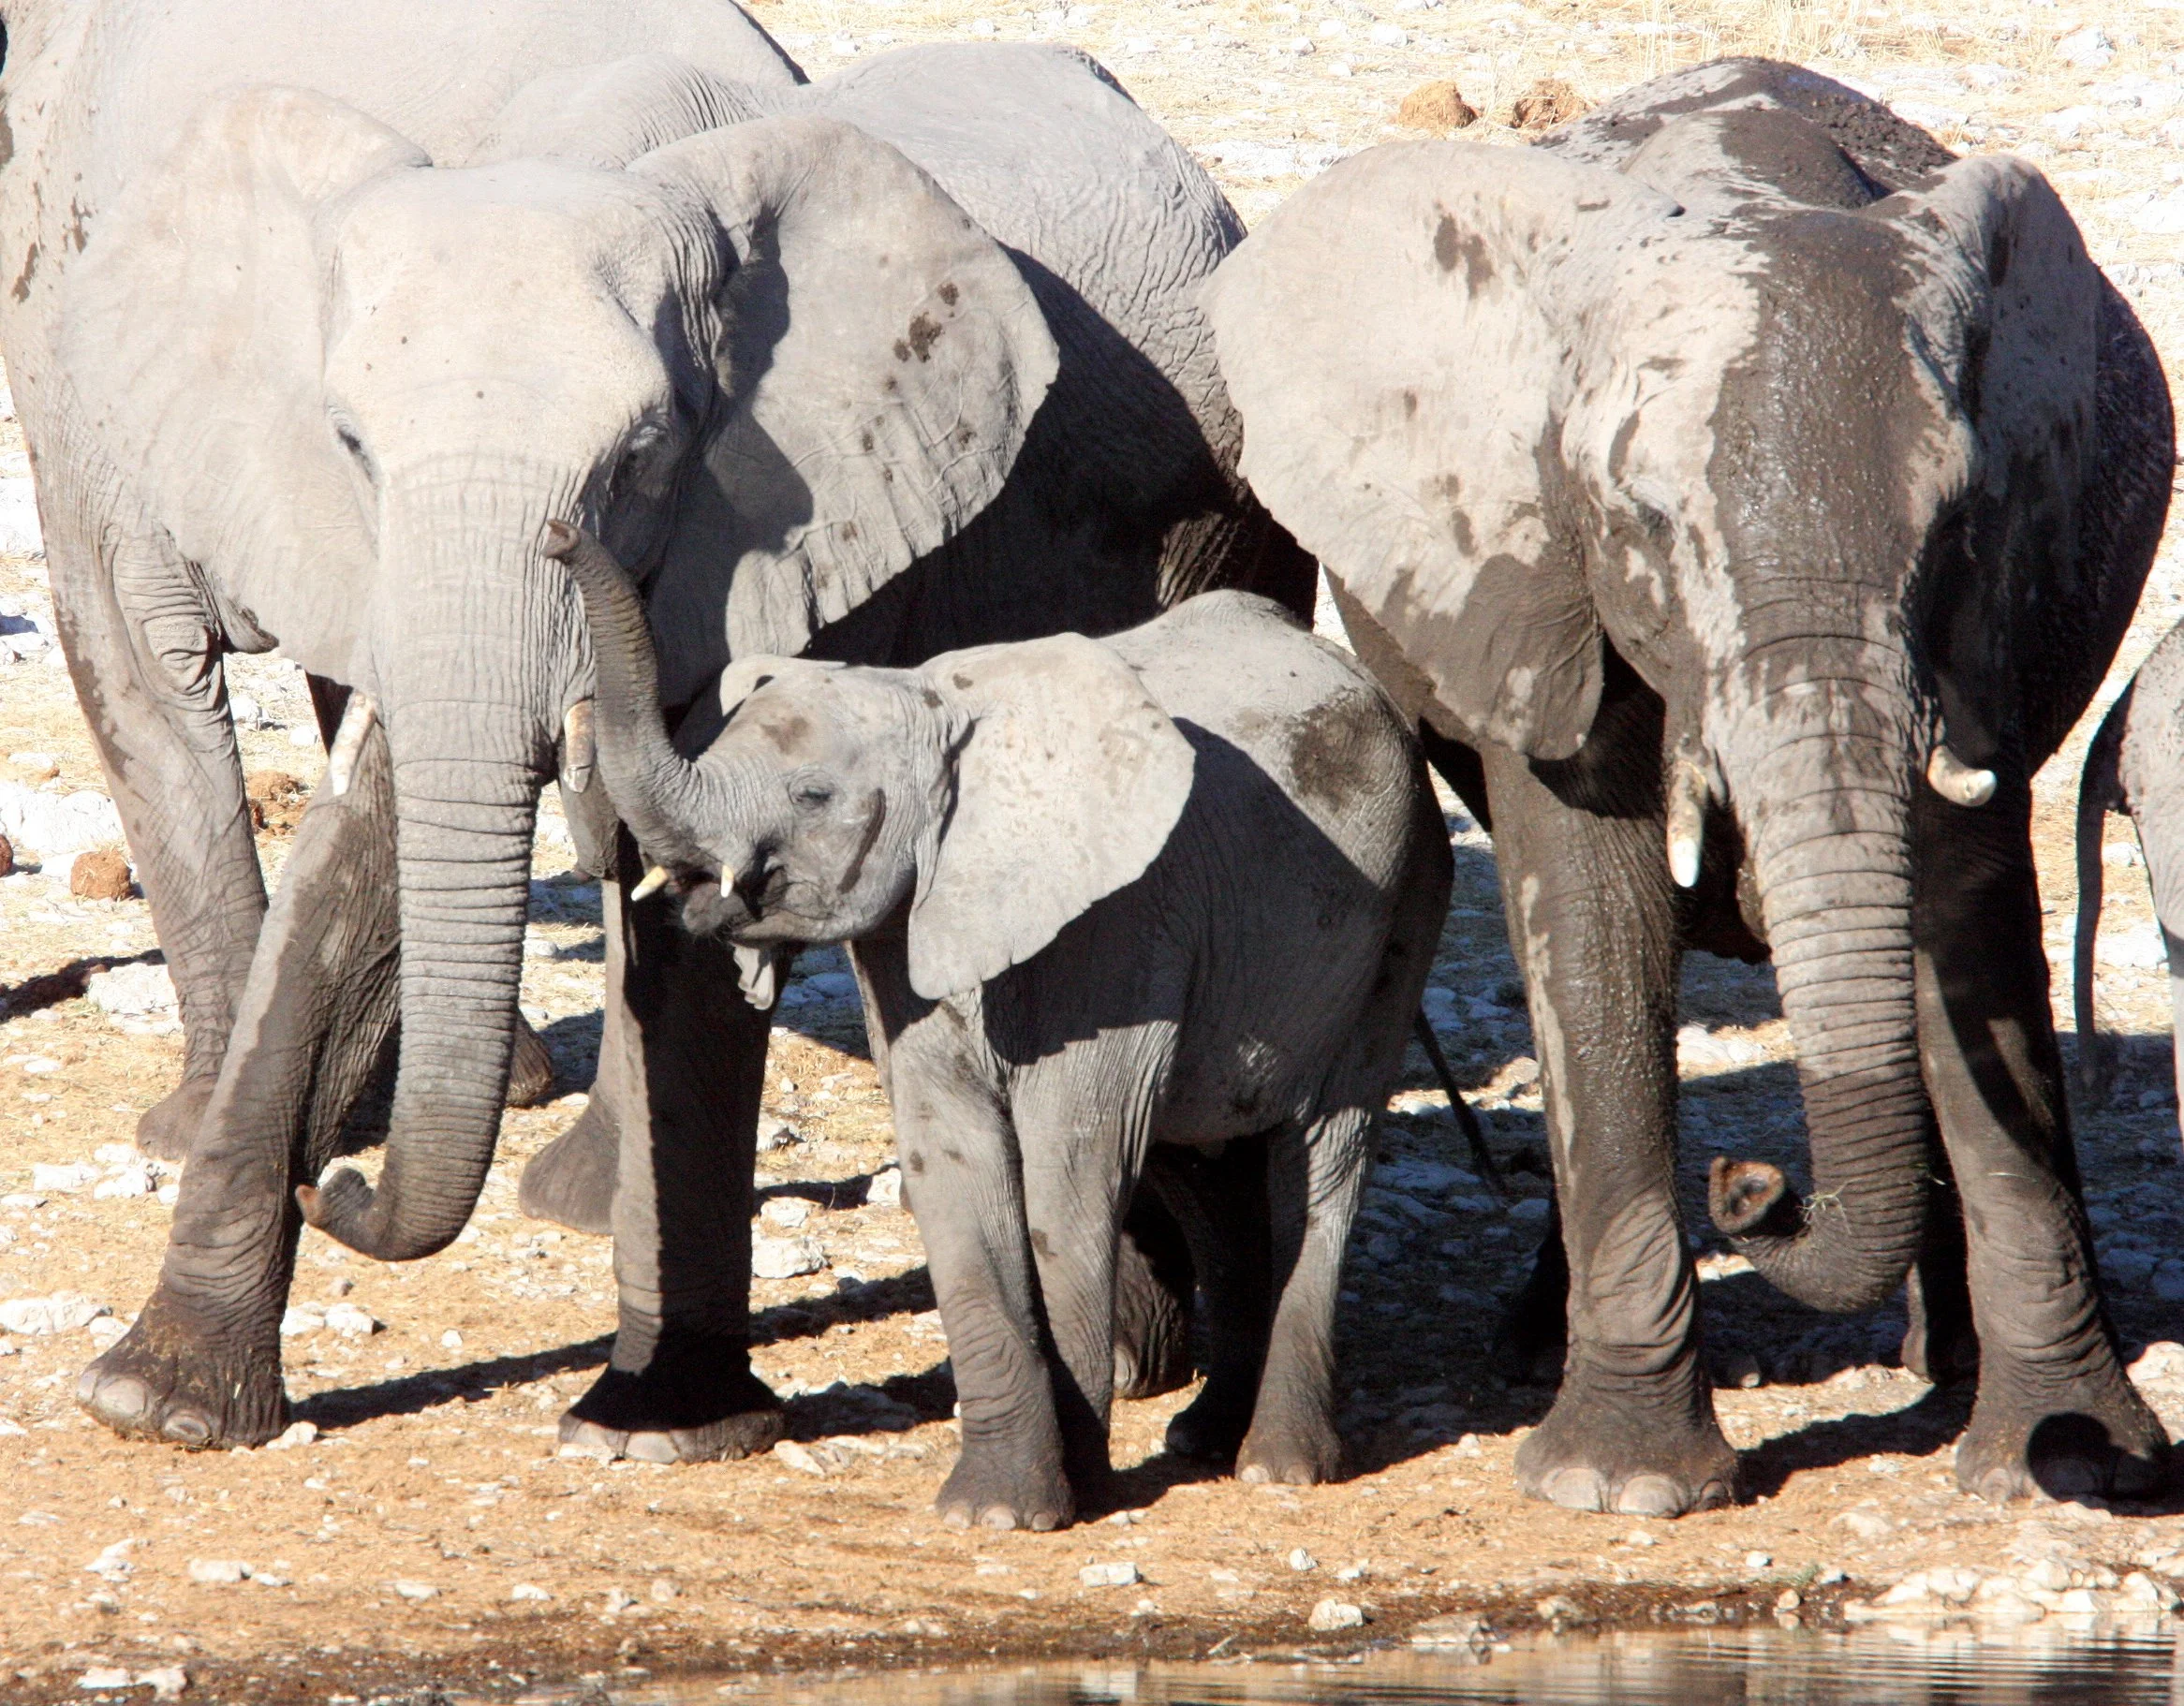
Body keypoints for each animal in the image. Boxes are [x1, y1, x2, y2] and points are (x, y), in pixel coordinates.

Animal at [3, 0, 1310, 1451]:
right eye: (349, 444)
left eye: (639, 458)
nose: (337, 1188)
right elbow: (355, 864)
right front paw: (156, 1398)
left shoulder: (786, 532)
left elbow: (699, 899)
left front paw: (656, 1422)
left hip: (1225, 527)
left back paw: (1139, 1351)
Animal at [554, 522, 1452, 1520]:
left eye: (814, 796)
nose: (560, 534)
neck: (937, 706)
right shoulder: (912, 931)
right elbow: (952, 1158)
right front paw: (993, 1509)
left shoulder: (1120, 923)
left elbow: (1073, 1165)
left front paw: (1077, 1493)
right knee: (1208, 1166)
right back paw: (1205, 1440)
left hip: (1404, 906)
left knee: (1319, 1160)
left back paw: (1277, 1466)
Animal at [1204, 58, 2174, 1513]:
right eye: (1648, 525)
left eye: (1957, 521)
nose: (1751, 1184)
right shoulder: (1535, 582)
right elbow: (1593, 909)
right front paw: (1619, 1486)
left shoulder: (1985, 622)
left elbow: (1968, 931)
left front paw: (2068, 1457)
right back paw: (1538, 1345)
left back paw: (1937, 1359)